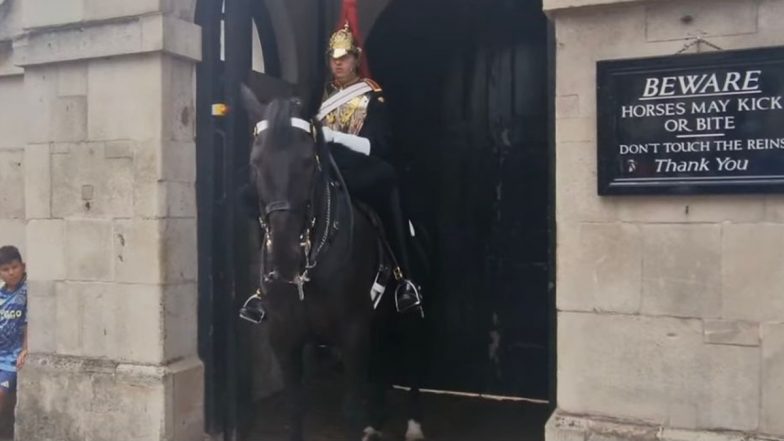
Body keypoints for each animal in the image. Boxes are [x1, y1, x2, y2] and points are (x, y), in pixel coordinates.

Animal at [242, 87, 428, 440]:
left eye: (307, 162)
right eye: (255, 163)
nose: (285, 258)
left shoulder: (352, 332)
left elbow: (351, 410)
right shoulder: (284, 337)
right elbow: (295, 410)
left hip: (403, 314)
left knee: (410, 353)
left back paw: (413, 424)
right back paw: (377, 417)